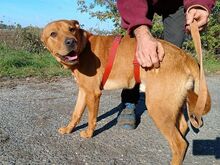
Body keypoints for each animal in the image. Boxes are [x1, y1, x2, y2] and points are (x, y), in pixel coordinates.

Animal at [41, 20, 211, 164]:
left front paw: (89, 134)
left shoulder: (93, 93)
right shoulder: (84, 91)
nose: (71, 42)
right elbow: (75, 114)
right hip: (171, 104)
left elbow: (91, 118)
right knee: (183, 127)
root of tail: (186, 56)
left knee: (180, 144)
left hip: (158, 107)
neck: (84, 47)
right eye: (53, 34)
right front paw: (68, 129)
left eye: (72, 29)